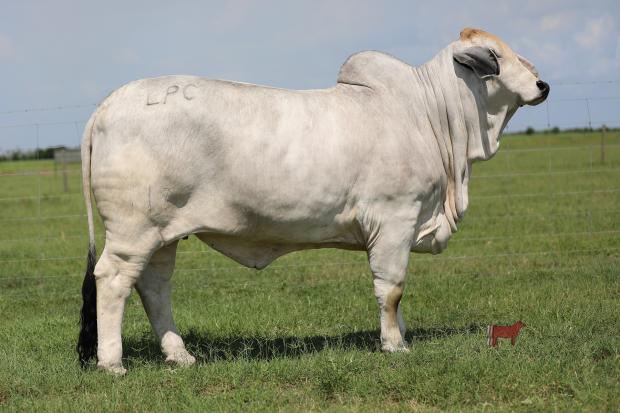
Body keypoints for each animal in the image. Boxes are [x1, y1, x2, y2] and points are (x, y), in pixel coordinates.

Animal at [77, 28, 549, 374]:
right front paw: (394, 345)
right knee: (113, 280)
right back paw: (112, 363)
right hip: (133, 230)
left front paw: (399, 335)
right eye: (496, 55)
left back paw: (180, 355)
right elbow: (392, 288)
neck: (429, 115)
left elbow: (395, 293)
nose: (542, 85)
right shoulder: (396, 218)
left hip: (165, 234)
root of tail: (106, 106)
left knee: (154, 286)